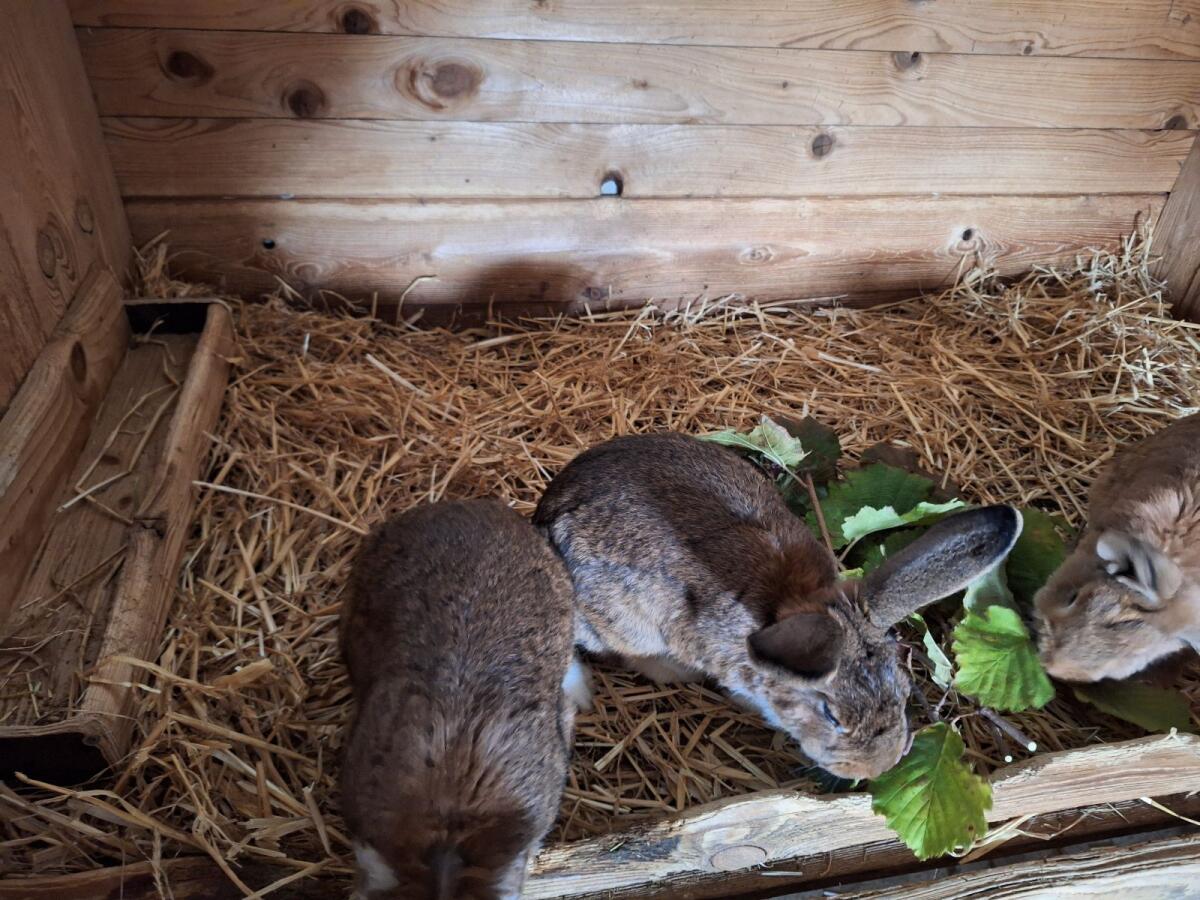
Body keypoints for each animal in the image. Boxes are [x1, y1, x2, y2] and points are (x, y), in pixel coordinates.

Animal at [533, 432, 1021, 780]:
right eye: (831, 715)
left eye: (903, 695)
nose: (877, 768)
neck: (796, 603)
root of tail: (545, 510)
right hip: (619, 619)